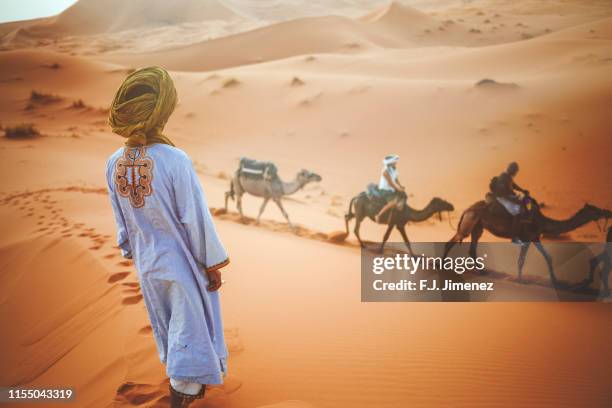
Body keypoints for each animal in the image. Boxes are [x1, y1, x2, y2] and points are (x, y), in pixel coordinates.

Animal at [442, 196, 608, 286]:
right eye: (595, 210)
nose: (608, 212)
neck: (543, 221)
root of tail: (466, 210)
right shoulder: (529, 237)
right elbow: (521, 260)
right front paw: (521, 280)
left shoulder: (535, 237)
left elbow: (548, 257)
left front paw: (555, 281)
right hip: (469, 223)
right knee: (452, 241)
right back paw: (443, 267)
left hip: (478, 226)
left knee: (472, 247)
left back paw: (483, 271)